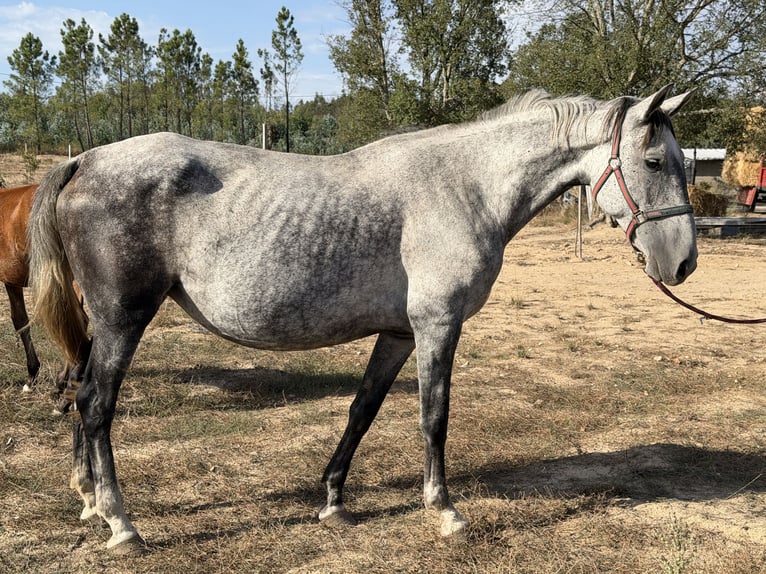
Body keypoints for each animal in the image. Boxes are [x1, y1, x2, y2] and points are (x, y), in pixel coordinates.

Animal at [28, 86, 696, 554]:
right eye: (655, 160)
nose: (683, 262)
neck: (464, 187)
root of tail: (86, 161)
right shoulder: (437, 326)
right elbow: (433, 418)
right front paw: (444, 510)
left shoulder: (398, 334)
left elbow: (363, 409)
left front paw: (332, 499)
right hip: (125, 319)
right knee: (96, 405)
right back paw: (121, 524)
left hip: (104, 324)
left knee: (81, 391)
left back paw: (89, 500)